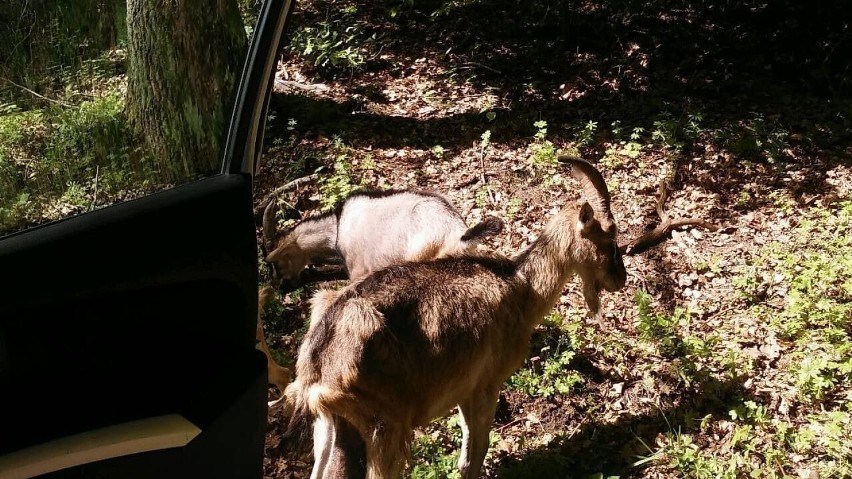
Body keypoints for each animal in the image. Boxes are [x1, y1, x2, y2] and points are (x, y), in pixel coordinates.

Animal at [286, 158, 624, 479]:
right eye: (608, 240)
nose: (619, 279)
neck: (521, 287)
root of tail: (316, 369)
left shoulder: (464, 387)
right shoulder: (488, 383)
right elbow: (479, 448)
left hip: (330, 427)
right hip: (384, 429)